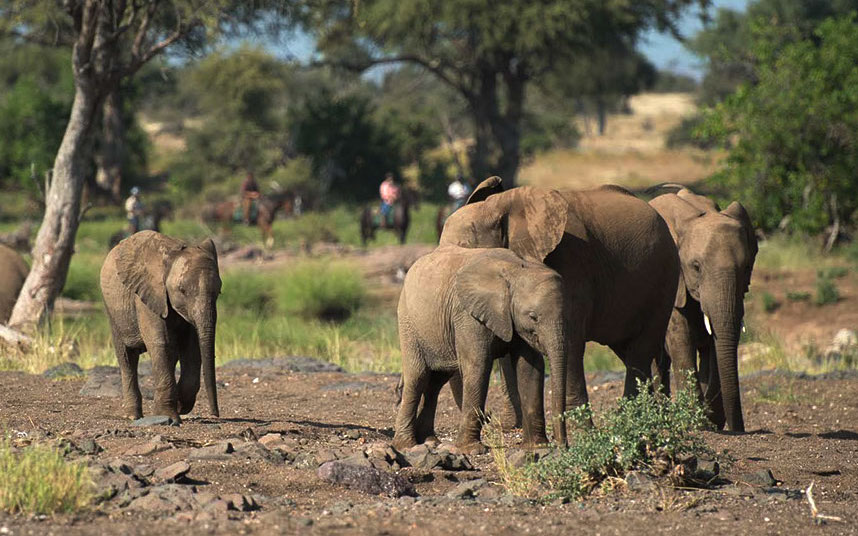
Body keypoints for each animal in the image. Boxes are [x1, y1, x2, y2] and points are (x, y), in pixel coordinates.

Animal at [100, 230, 221, 423]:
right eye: (182, 291)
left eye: (219, 291)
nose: (214, 414)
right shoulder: (147, 295)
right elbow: (160, 343)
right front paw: (169, 417)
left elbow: (192, 347)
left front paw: (180, 406)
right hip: (113, 310)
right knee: (127, 357)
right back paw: (132, 416)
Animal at [394, 245, 568, 454]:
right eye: (533, 316)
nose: (563, 446)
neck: (516, 270)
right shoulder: (468, 315)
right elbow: (478, 366)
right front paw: (472, 450)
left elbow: (530, 369)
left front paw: (538, 448)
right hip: (408, 322)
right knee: (418, 377)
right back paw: (407, 445)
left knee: (435, 382)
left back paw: (429, 440)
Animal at [439, 177, 680, 436]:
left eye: (465, 250)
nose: (490, 418)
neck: (498, 206)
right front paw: (512, 426)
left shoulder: (571, 262)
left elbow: (571, 340)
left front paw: (580, 428)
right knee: (629, 348)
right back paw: (655, 413)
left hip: (665, 278)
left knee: (641, 347)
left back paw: (632, 418)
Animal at [649, 188, 758, 432]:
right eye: (696, 267)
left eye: (747, 267)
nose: (739, 429)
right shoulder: (673, 284)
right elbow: (681, 341)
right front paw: (696, 422)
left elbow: (714, 347)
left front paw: (709, 419)